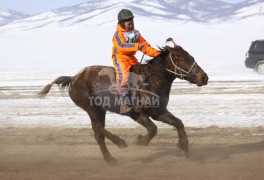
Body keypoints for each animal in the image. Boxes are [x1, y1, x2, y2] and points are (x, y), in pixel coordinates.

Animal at [38, 44, 208, 164]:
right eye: (184, 59)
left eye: (191, 57)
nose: (204, 77)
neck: (151, 80)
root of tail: (73, 78)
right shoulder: (140, 112)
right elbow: (153, 129)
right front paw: (140, 141)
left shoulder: (155, 111)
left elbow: (177, 123)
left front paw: (184, 147)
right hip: (92, 108)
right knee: (98, 130)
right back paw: (117, 148)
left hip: (101, 110)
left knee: (98, 132)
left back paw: (113, 154)